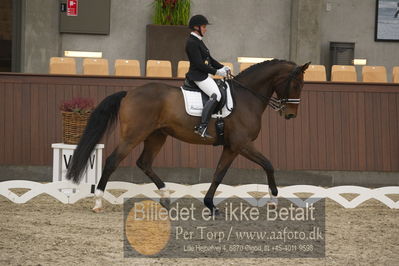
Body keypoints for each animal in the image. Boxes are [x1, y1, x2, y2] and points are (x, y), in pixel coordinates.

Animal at [65, 58, 310, 212]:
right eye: (297, 84)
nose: (290, 115)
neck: (246, 97)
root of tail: (129, 93)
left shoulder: (231, 146)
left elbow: (218, 174)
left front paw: (210, 204)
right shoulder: (241, 144)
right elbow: (267, 164)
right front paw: (274, 199)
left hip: (157, 136)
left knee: (144, 163)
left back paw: (166, 197)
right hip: (134, 135)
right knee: (112, 161)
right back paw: (98, 202)